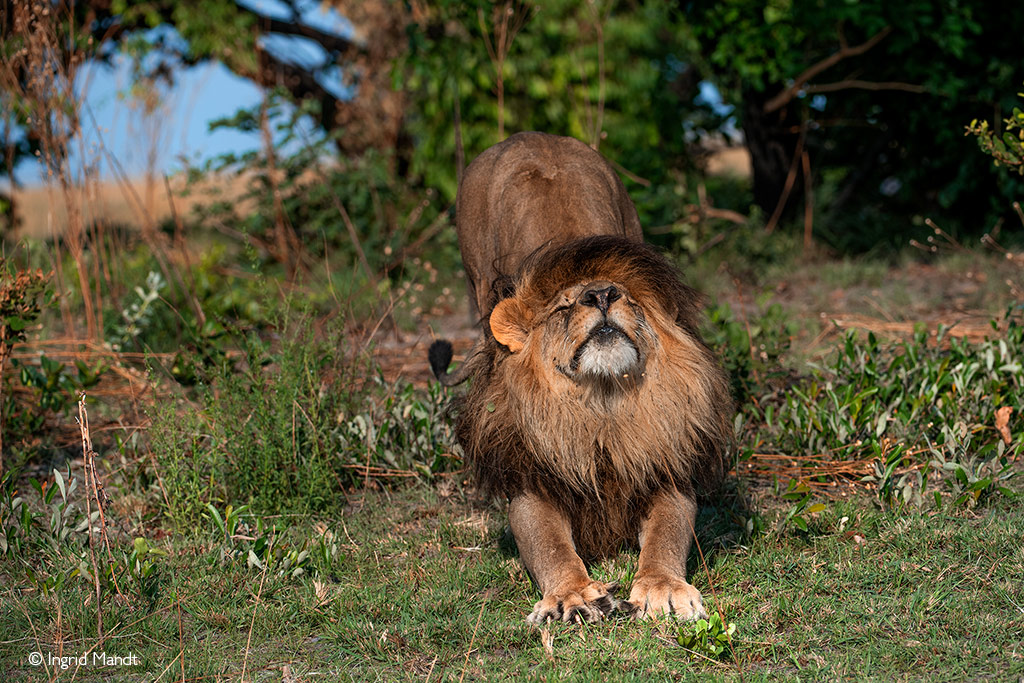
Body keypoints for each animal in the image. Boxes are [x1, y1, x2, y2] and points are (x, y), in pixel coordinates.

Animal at [428, 133, 733, 626]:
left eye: (626, 296)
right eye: (564, 306)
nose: (602, 294)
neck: (601, 405)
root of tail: (532, 135)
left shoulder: (668, 460)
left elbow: (667, 533)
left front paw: (663, 588)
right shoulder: (529, 480)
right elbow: (550, 546)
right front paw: (572, 596)